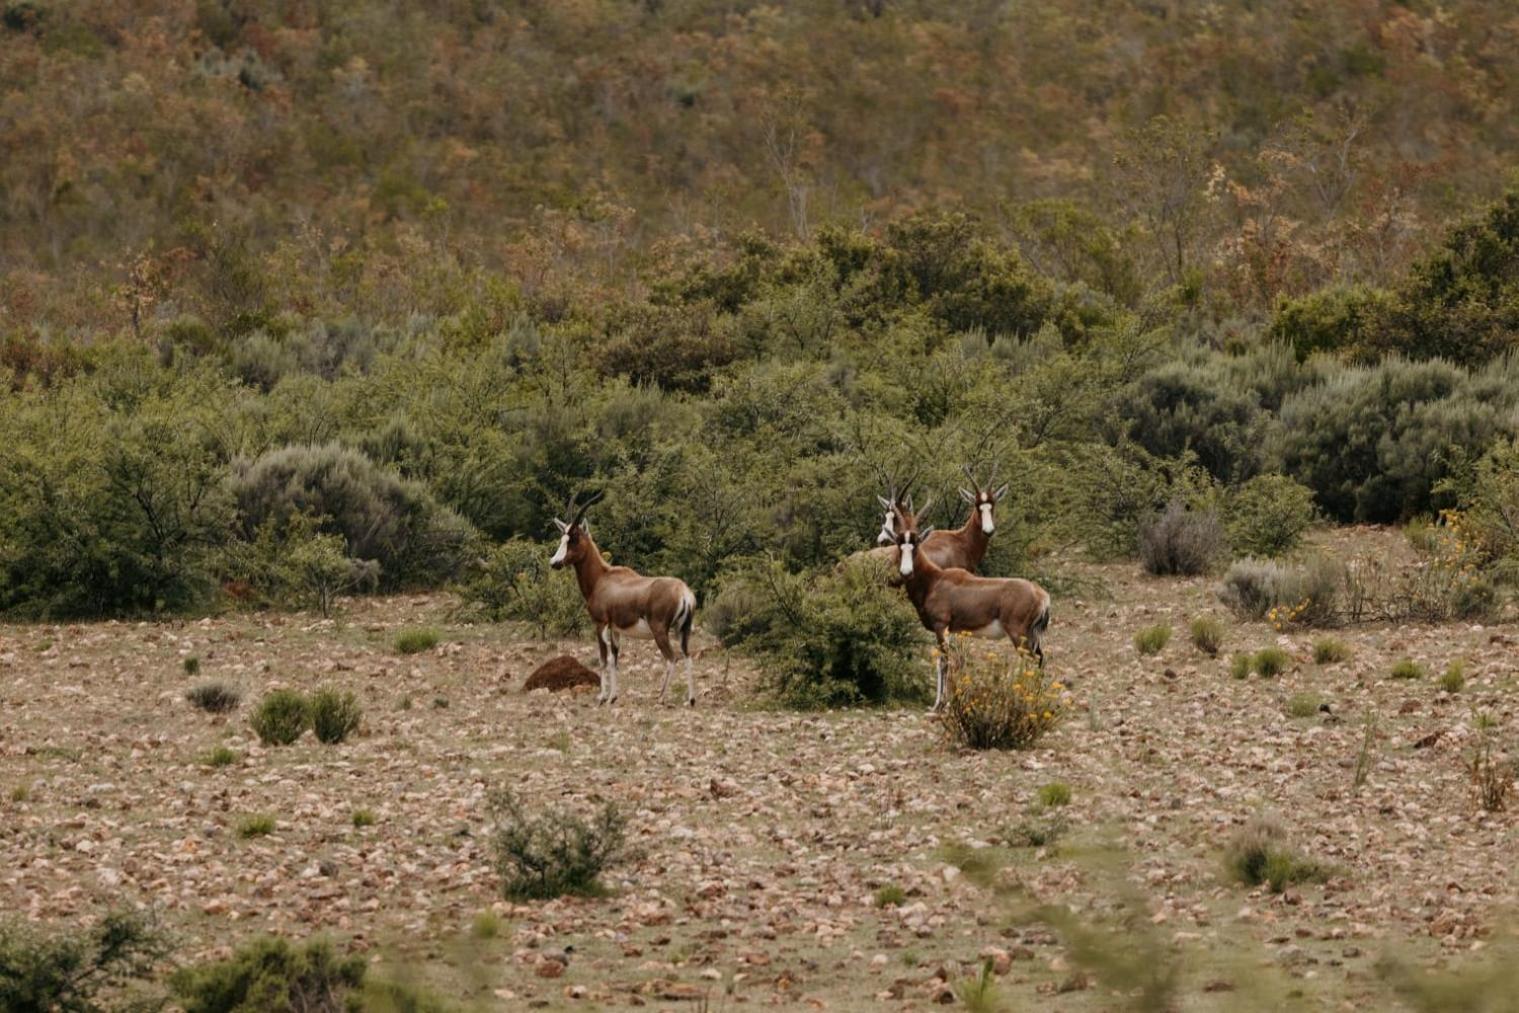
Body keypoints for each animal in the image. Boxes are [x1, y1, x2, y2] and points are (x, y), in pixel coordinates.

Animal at [549, 492, 695, 704]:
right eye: (562, 537)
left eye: (574, 538)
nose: (554, 563)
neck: (602, 578)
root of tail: (683, 591)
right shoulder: (615, 629)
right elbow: (614, 660)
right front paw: (613, 696)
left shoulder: (600, 624)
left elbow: (603, 659)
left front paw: (602, 697)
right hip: (683, 630)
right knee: (687, 656)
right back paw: (691, 699)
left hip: (660, 631)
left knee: (671, 658)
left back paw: (660, 697)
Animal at [893, 510, 1051, 710]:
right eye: (899, 544)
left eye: (915, 545)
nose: (906, 572)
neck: (935, 580)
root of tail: (1041, 594)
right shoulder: (950, 630)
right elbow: (945, 661)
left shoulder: (940, 626)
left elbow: (944, 661)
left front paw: (941, 705)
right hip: (1031, 637)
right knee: (1040, 659)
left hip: (1019, 635)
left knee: (1031, 661)